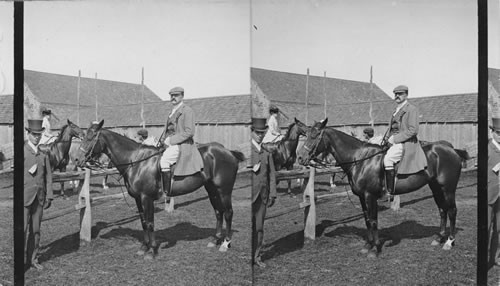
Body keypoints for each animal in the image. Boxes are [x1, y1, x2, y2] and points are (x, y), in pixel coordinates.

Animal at [73, 120, 244, 260]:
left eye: (91, 137)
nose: (76, 160)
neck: (136, 161)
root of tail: (228, 151)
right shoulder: (138, 199)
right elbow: (143, 222)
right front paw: (144, 247)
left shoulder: (146, 198)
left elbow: (150, 223)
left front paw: (152, 250)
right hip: (212, 190)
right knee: (218, 212)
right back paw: (215, 240)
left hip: (224, 191)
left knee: (228, 213)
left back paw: (225, 244)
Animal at [294, 117, 466, 258]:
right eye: (306, 134)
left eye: (315, 135)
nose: (300, 158)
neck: (360, 159)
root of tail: (451, 150)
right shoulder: (362, 197)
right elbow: (367, 220)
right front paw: (367, 246)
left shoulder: (370, 196)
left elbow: (374, 221)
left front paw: (375, 249)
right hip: (436, 188)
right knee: (442, 209)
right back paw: (439, 237)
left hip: (448, 189)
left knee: (452, 211)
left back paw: (449, 242)